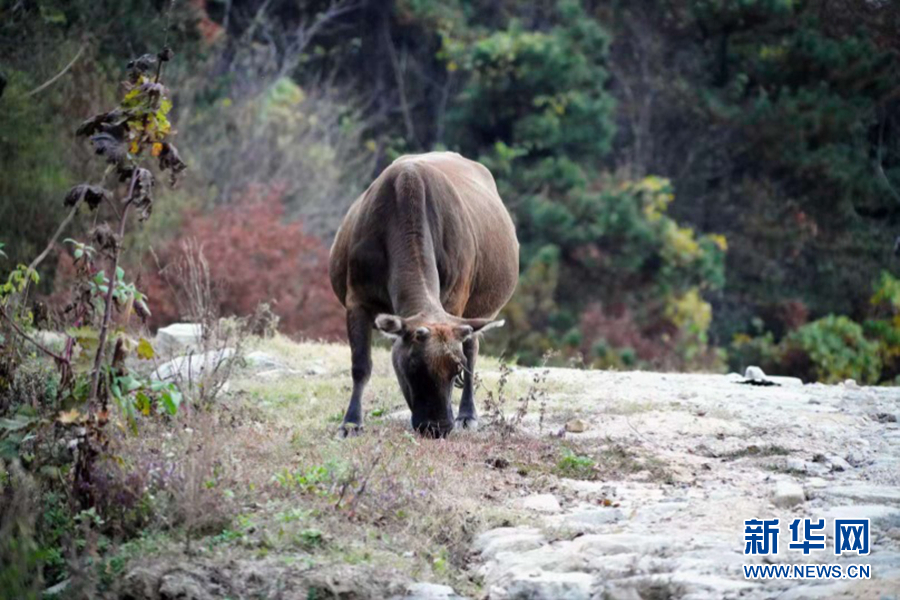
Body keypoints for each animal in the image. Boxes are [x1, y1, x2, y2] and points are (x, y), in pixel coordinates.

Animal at [330, 152, 516, 438]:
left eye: (456, 368)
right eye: (413, 366)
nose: (437, 428)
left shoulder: (455, 302)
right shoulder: (357, 299)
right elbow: (360, 365)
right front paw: (350, 423)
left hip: (480, 308)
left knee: (473, 347)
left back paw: (467, 414)